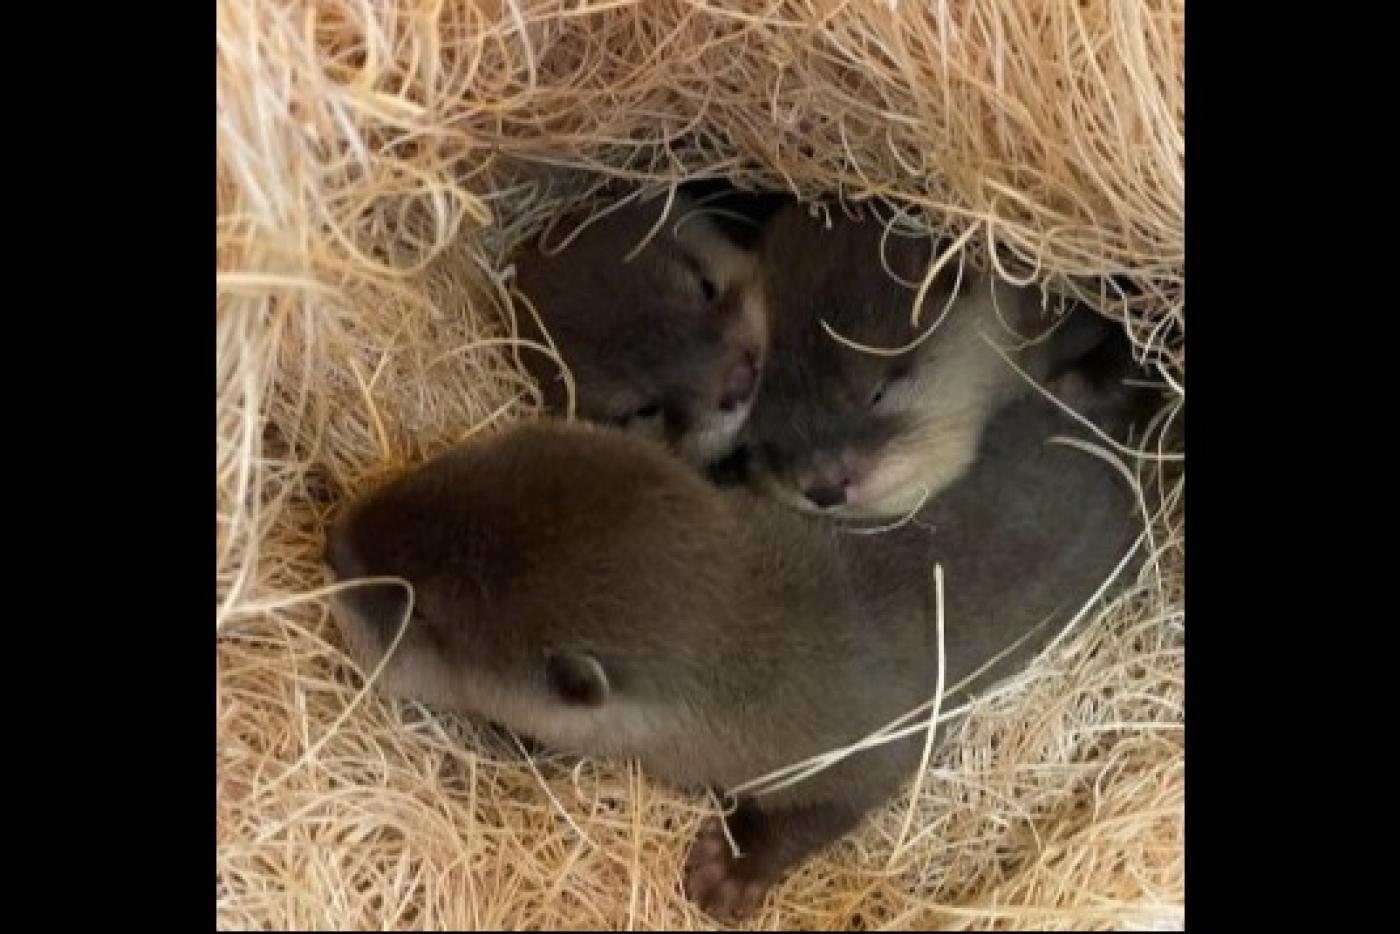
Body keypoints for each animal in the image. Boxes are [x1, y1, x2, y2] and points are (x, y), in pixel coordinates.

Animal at [324, 382, 1144, 922]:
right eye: (440, 472)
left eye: (422, 610)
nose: (335, 547)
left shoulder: (865, 736)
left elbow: (843, 802)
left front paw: (734, 871)